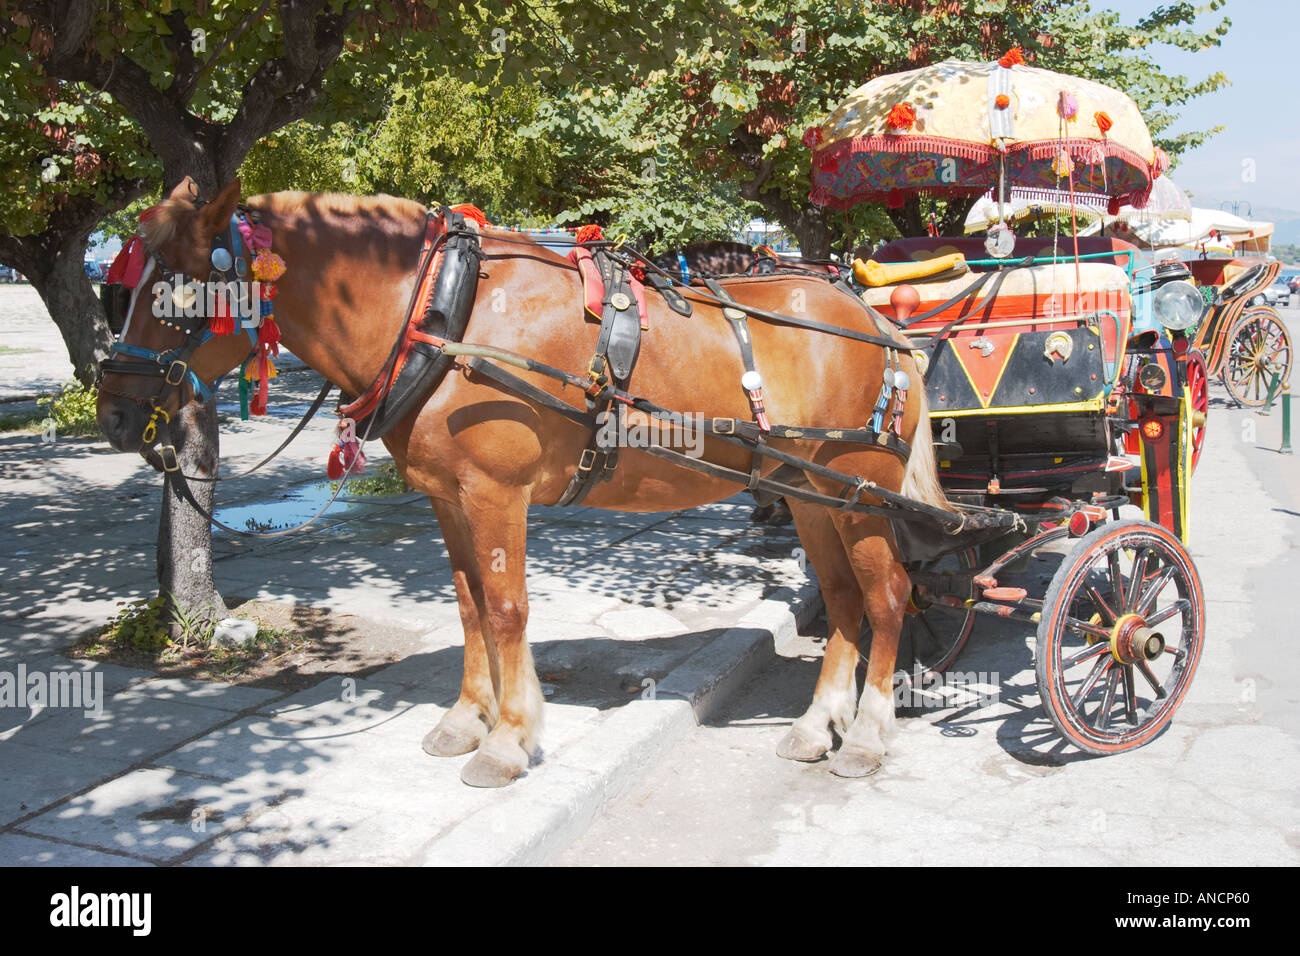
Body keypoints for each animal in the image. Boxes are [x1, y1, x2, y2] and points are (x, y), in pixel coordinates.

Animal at [91, 178, 946, 785]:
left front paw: (506, 742)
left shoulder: (496, 492)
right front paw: (468, 718)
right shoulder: (448, 496)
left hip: (859, 493)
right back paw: (815, 725)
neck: (445, 314)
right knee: (843, 600)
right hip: (809, 495)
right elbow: (471, 606)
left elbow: (506, 609)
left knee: (887, 595)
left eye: (174, 291)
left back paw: (868, 734)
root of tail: (877, 320)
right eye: (117, 290)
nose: (113, 412)